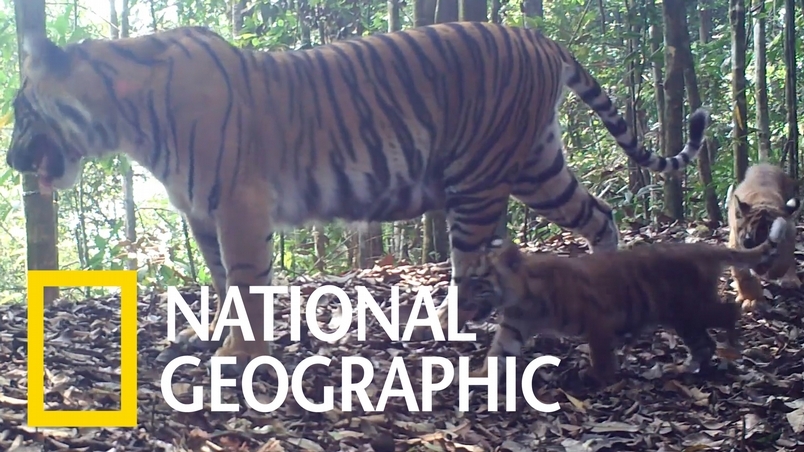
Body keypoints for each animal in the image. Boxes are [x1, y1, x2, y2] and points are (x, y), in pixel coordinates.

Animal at [6, 22, 709, 377]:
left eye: (20, 109)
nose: (11, 161)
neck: (124, 118)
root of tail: (542, 39)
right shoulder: (201, 212)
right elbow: (222, 283)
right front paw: (209, 340)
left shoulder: (237, 204)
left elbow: (247, 282)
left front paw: (239, 358)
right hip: (538, 167)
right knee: (601, 215)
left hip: (481, 178)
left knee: (476, 270)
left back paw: (479, 348)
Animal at [457, 212, 795, 387]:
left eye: (477, 281)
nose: (460, 299)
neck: (519, 298)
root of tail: (700, 247)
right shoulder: (513, 327)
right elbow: (497, 354)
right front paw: (476, 376)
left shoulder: (597, 318)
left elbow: (600, 352)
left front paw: (598, 376)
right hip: (682, 317)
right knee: (704, 344)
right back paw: (686, 369)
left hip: (692, 309)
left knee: (729, 311)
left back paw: (733, 346)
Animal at [726, 163, 802, 312]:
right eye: (748, 243)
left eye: (774, 244)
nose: (761, 269)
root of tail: (764, 164)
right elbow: (745, 276)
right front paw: (752, 299)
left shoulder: (789, 236)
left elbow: (784, 261)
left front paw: (776, 274)